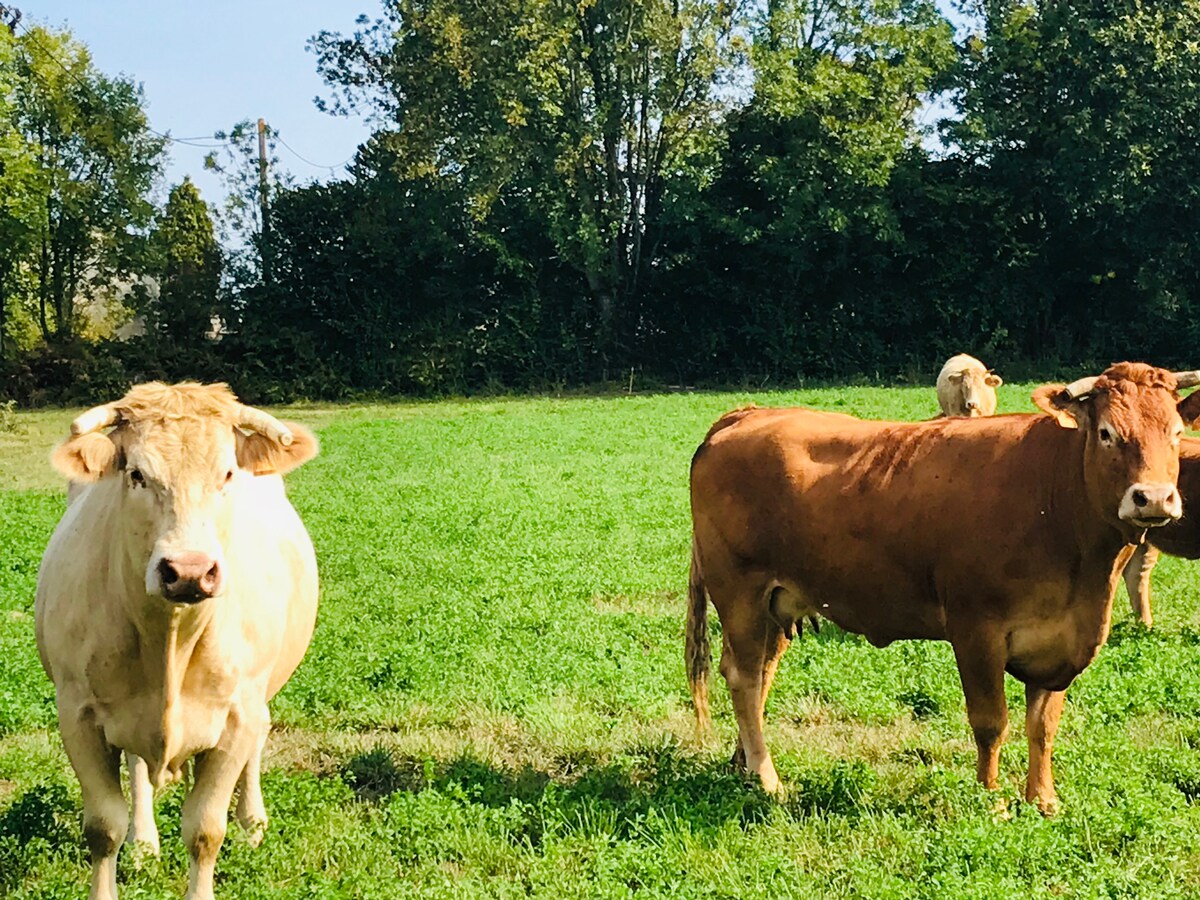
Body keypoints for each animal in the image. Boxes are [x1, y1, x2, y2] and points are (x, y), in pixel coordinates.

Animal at [36, 381, 319, 900]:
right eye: (136, 474)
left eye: (227, 473)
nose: (188, 570)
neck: (169, 638)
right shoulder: (78, 715)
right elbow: (103, 827)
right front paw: (130, 844)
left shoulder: (237, 714)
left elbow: (205, 829)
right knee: (138, 766)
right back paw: (144, 843)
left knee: (259, 739)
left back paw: (252, 823)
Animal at [686, 362, 1200, 816]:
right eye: (1107, 433)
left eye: (1176, 433)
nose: (1153, 498)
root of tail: (748, 414)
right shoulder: (976, 630)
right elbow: (991, 722)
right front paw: (992, 801)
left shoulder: (1062, 639)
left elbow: (1043, 725)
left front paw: (1043, 800)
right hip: (739, 591)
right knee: (744, 677)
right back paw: (766, 777)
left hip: (777, 601)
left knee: (761, 675)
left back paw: (743, 765)